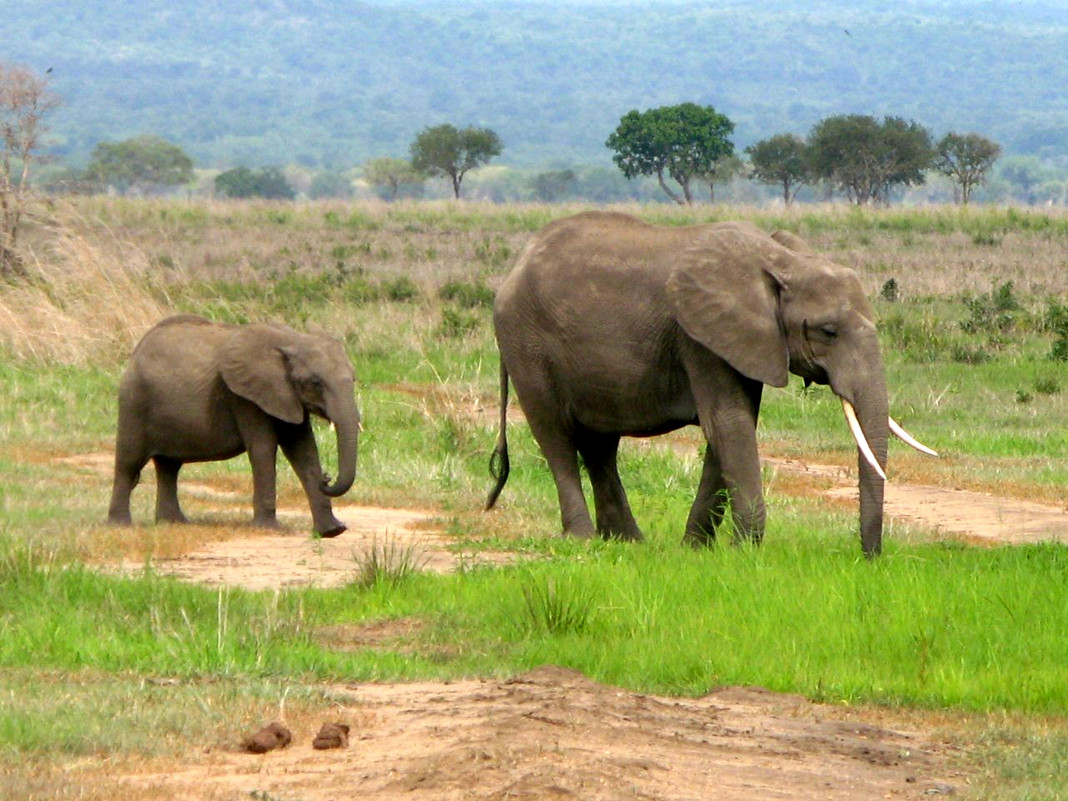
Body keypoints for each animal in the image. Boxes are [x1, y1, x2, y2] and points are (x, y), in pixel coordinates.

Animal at [108, 313, 360, 540]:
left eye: (354, 378)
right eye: (316, 383)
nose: (326, 478)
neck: (292, 339)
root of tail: (137, 350)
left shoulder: (286, 397)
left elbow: (304, 450)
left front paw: (332, 531)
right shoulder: (245, 397)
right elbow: (263, 450)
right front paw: (268, 529)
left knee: (169, 466)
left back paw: (173, 523)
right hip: (134, 400)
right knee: (129, 462)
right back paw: (120, 526)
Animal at [484, 213, 935, 559]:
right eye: (828, 332)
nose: (869, 558)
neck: (781, 261)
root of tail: (512, 271)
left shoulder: (746, 342)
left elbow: (731, 431)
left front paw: (695, 551)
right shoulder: (699, 338)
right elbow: (729, 425)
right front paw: (743, 554)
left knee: (600, 445)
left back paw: (629, 542)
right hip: (526, 343)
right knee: (555, 436)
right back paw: (583, 539)